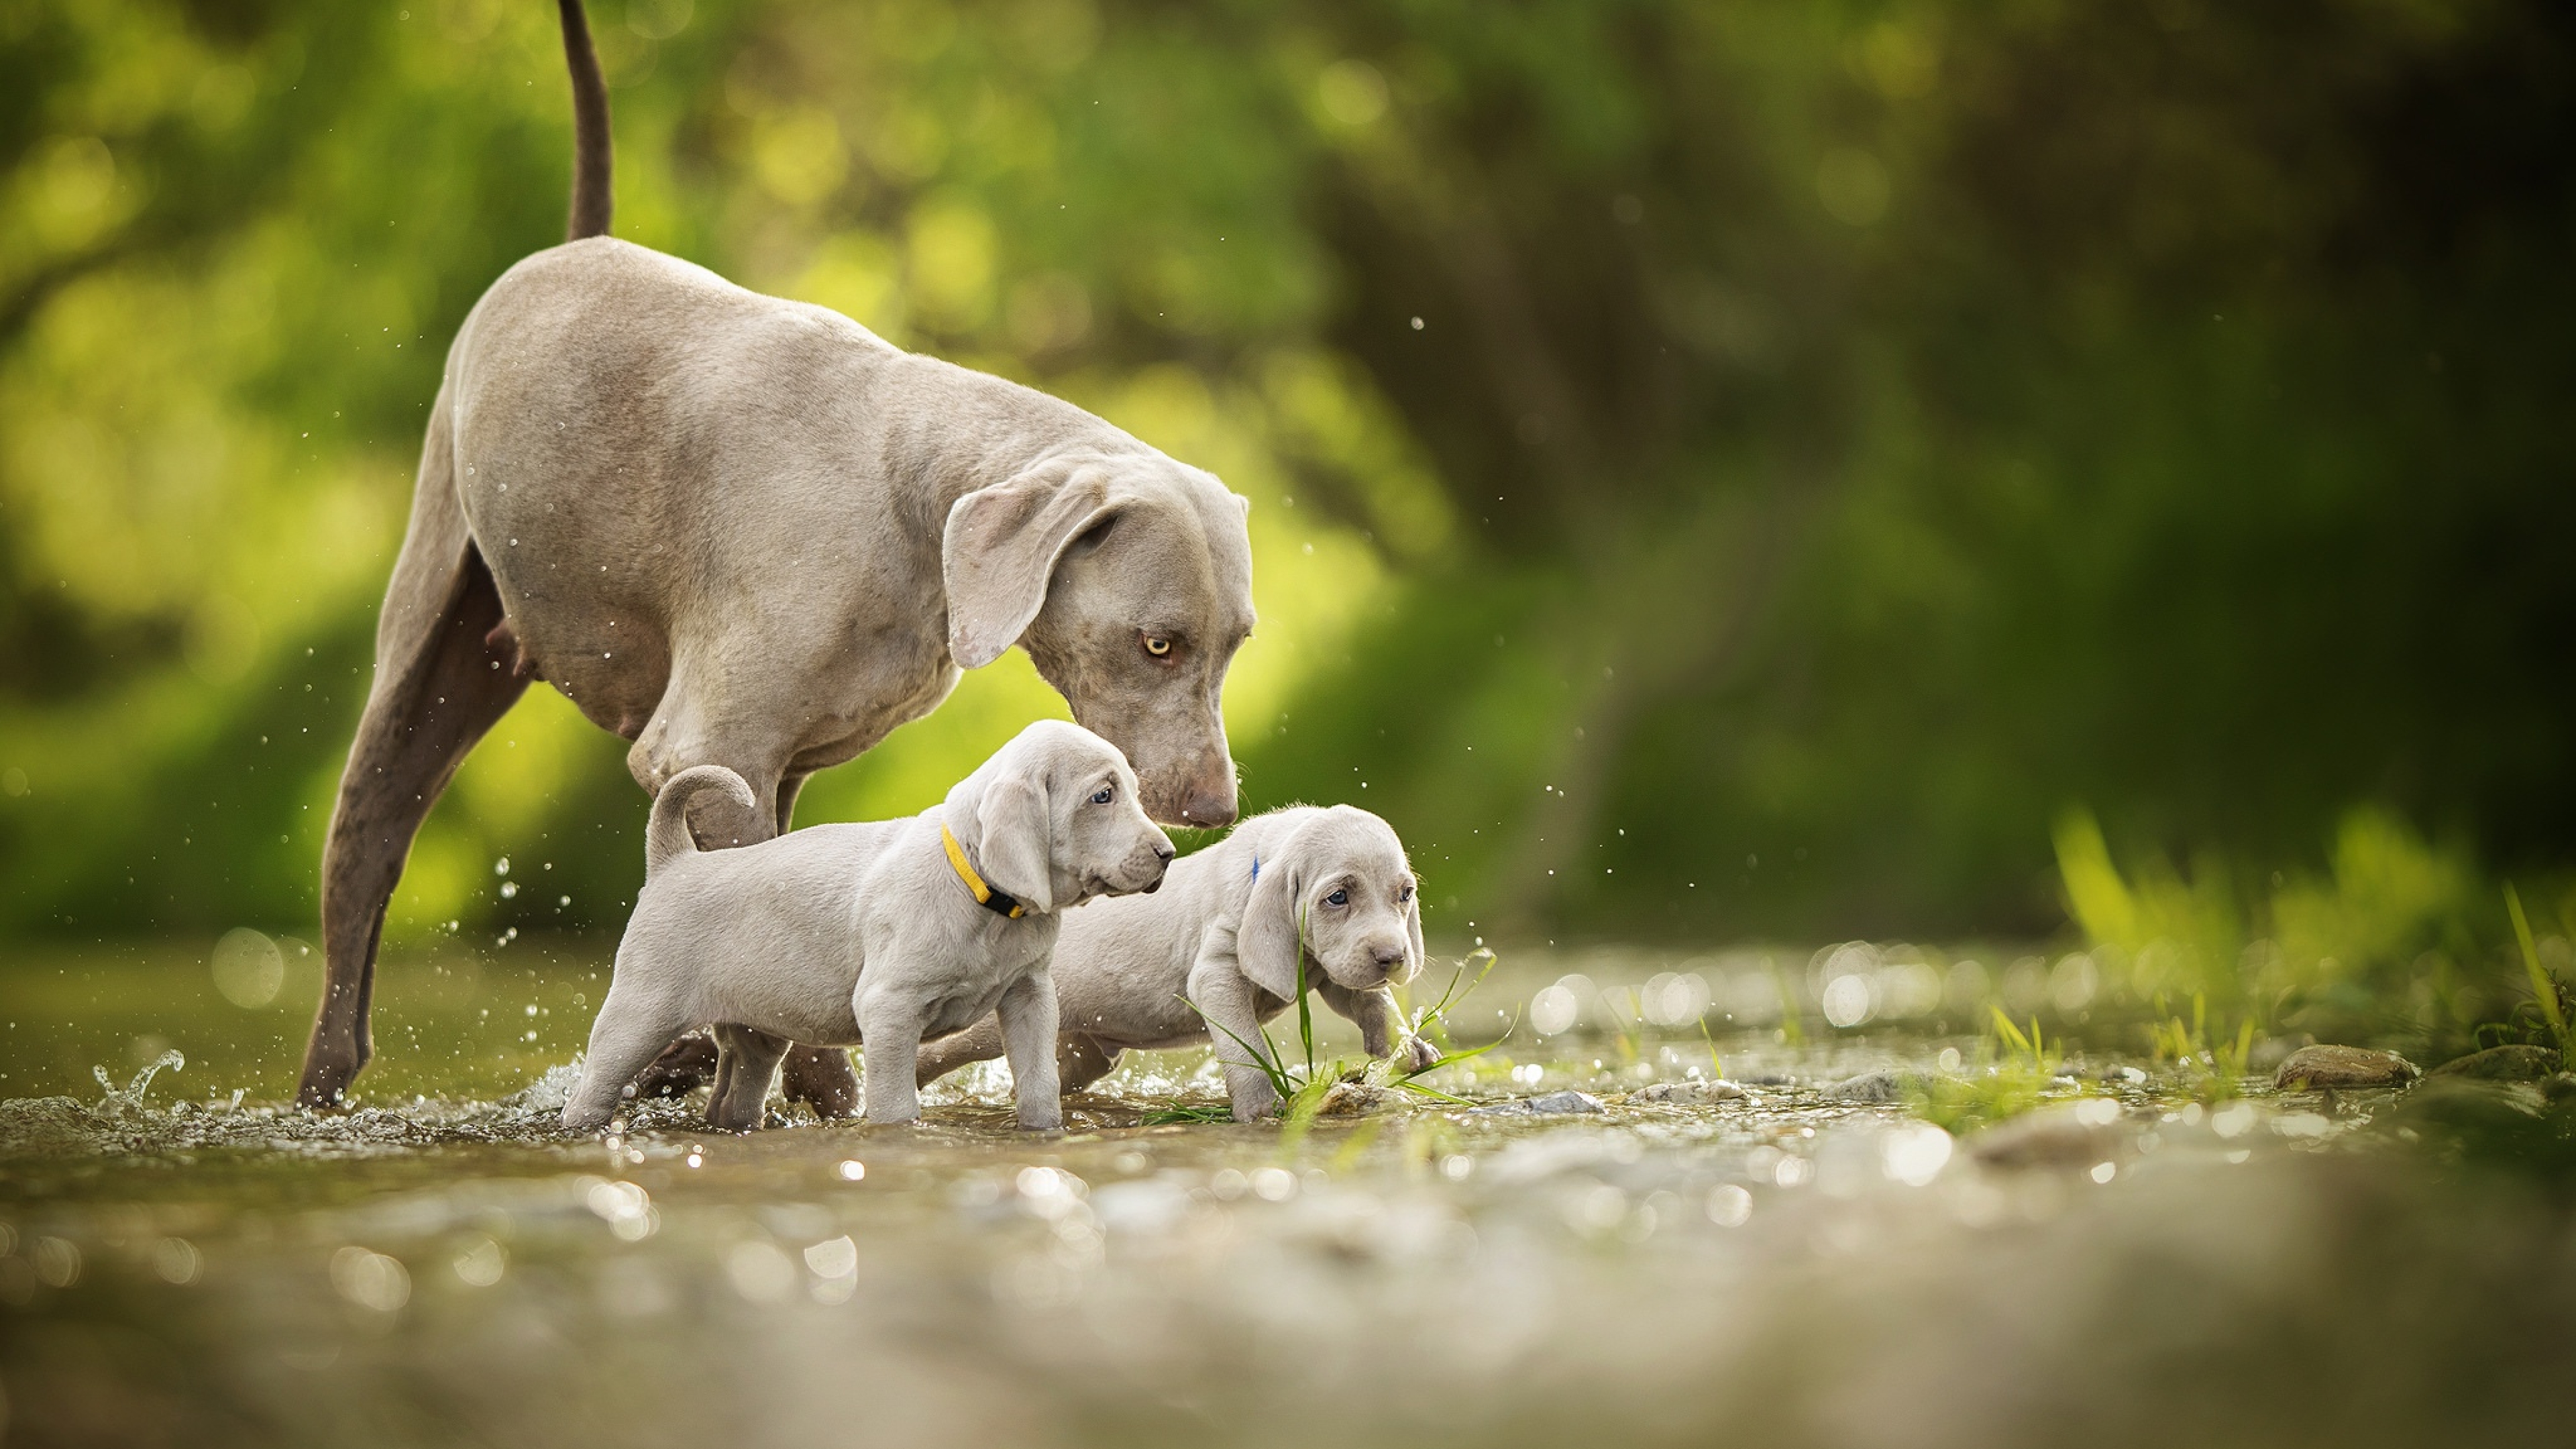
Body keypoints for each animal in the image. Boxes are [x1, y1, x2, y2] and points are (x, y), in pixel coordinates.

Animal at [566, 716, 1179, 1134]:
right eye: (1102, 796)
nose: (1169, 854)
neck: (982, 899)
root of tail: (673, 862)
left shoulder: (1030, 995)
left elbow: (1038, 1086)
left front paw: (1043, 1131)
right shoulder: (888, 1008)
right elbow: (896, 1106)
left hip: (756, 1036)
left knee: (734, 1100)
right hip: (638, 1016)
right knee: (591, 1091)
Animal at [917, 799, 1442, 1119]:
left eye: (1405, 894)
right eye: (1337, 897)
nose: (1394, 957)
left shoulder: (1330, 965)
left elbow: (1368, 1001)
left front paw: (1406, 1047)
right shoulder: (1215, 974)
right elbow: (1245, 1047)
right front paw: (1261, 1110)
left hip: (1086, 1050)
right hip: (986, 1027)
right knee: (940, 1051)